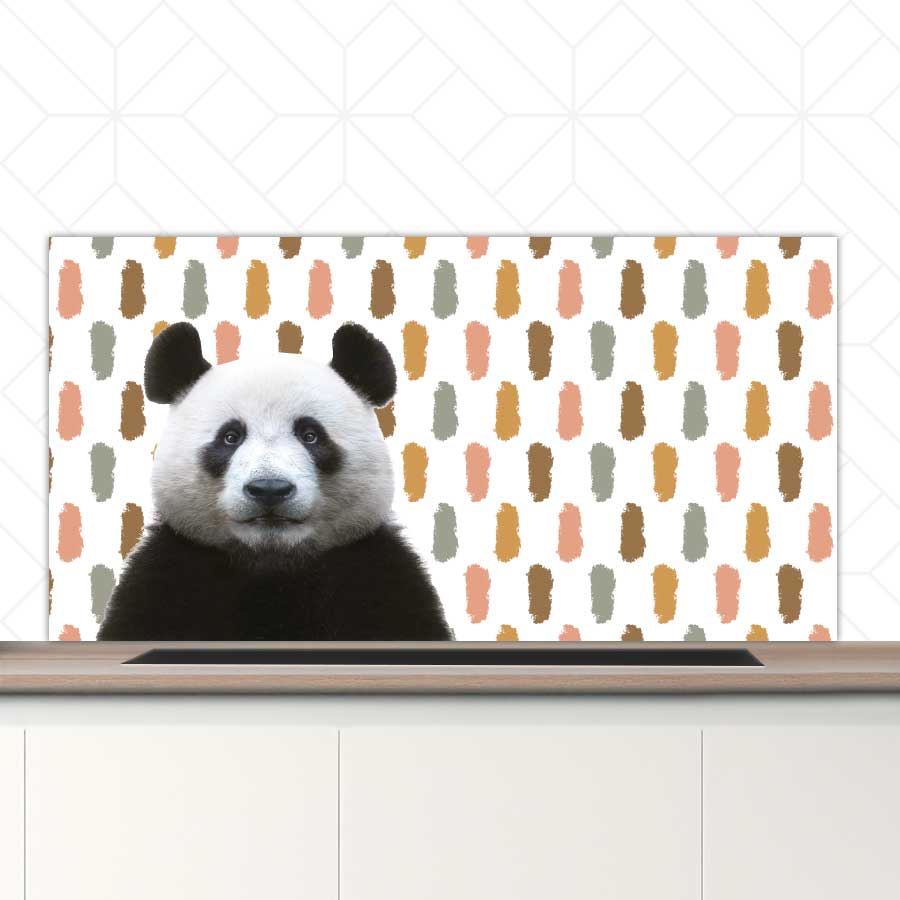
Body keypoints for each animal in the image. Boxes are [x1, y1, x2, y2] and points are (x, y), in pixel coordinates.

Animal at [98, 321, 451, 641]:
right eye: (230, 436)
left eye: (310, 435)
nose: (269, 489)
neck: (272, 565)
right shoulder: (168, 575)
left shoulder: (376, 575)